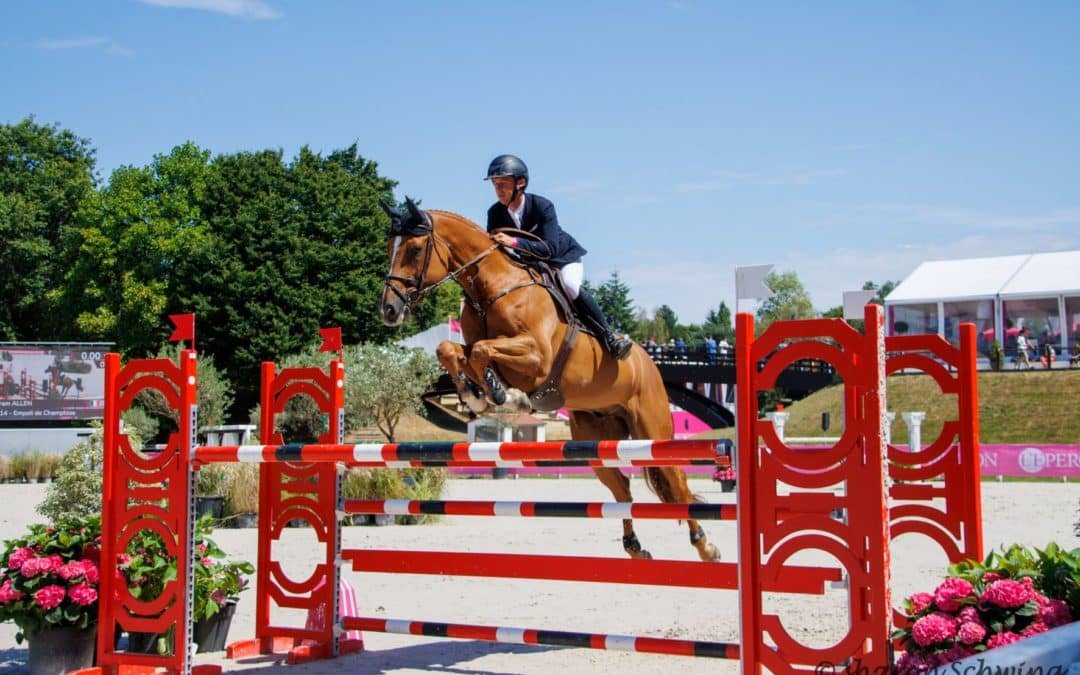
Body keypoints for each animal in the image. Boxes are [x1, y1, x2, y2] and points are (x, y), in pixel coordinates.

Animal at [379, 198, 719, 562]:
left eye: (415, 249)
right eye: (389, 247)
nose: (389, 310)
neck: (491, 286)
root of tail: (649, 363)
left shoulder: (537, 359)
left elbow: (482, 351)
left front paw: (503, 395)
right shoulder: (480, 347)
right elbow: (452, 350)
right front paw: (474, 393)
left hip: (652, 429)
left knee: (677, 483)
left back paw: (706, 546)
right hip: (596, 439)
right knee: (622, 490)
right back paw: (635, 547)